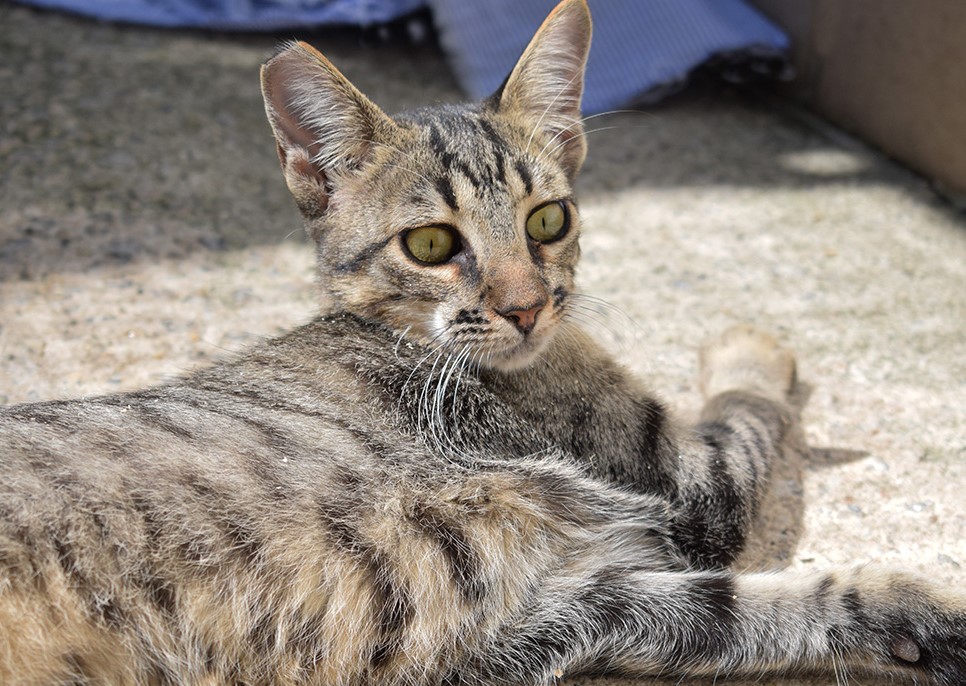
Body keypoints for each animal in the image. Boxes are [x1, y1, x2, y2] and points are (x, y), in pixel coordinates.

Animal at [1, 0, 966, 684]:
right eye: (431, 244)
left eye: (548, 220)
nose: (529, 307)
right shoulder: (692, 482)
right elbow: (751, 405)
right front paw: (750, 343)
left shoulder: (563, 608)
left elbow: (770, 603)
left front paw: (920, 614)